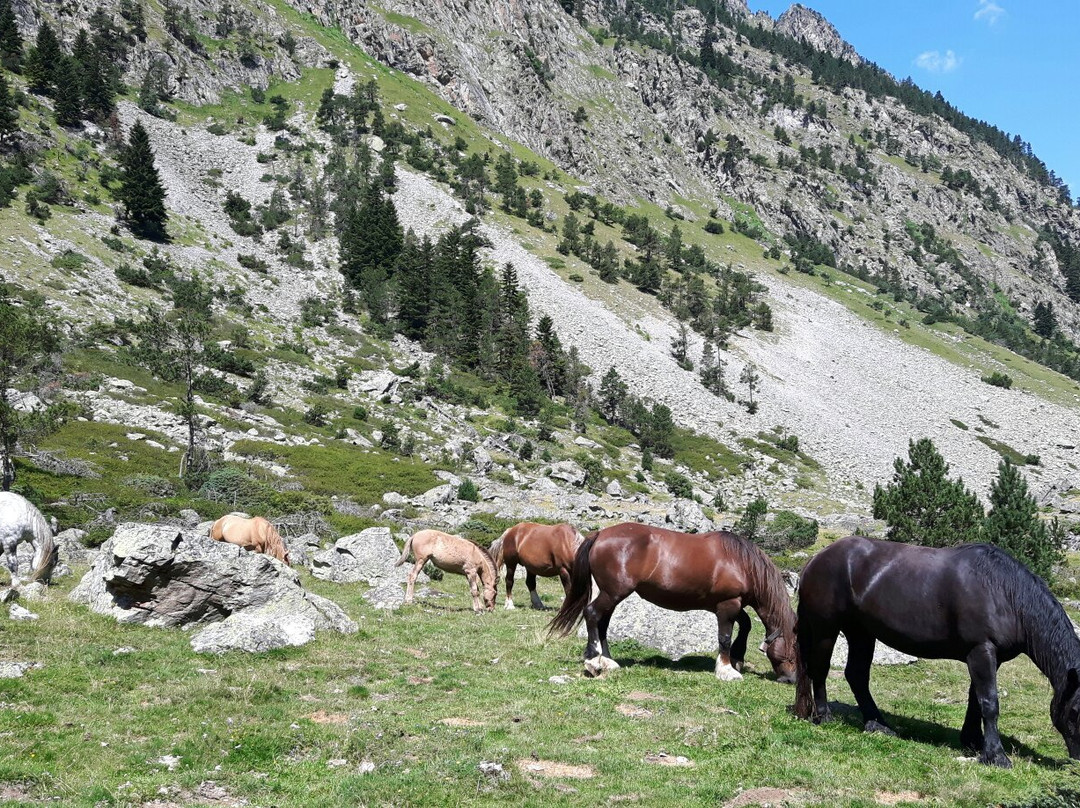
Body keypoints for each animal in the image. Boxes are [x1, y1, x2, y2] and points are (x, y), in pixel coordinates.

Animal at [552, 524, 799, 682]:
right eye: (794, 651)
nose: (791, 679)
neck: (741, 563)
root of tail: (600, 534)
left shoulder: (728, 605)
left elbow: (746, 625)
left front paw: (737, 659)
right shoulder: (727, 605)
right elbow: (725, 637)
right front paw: (727, 670)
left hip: (612, 595)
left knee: (602, 623)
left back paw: (608, 661)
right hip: (613, 593)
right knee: (592, 614)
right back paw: (594, 661)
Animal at [790, 533, 1080, 769]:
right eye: (1076, 709)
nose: (1076, 761)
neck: (1003, 593)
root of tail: (816, 559)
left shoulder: (986, 657)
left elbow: (975, 700)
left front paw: (974, 741)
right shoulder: (982, 651)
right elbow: (989, 702)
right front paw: (996, 756)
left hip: (861, 633)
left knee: (857, 676)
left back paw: (877, 724)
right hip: (826, 629)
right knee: (821, 669)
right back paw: (824, 716)